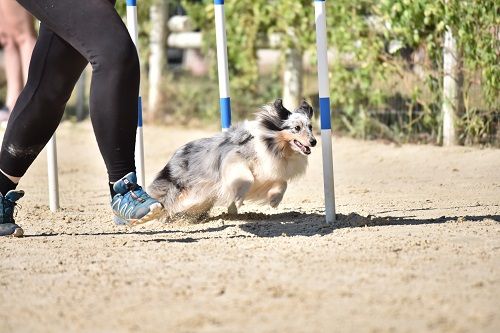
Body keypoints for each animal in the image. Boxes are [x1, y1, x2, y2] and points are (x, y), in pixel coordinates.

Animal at [148, 97, 318, 219]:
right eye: (297, 128)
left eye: (310, 127)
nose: (314, 142)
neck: (272, 144)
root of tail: (175, 156)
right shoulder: (234, 162)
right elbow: (247, 178)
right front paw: (238, 199)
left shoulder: (268, 171)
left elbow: (282, 183)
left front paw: (274, 200)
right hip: (181, 189)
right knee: (166, 202)